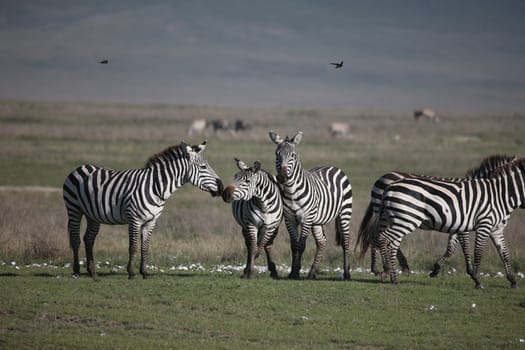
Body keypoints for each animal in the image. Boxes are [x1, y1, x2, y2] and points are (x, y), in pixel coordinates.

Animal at [62, 141, 222, 280]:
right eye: (203, 167)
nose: (221, 187)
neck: (155, 187)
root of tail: (81, 167)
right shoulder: (135, 219)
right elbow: (133, 247)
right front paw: (131, 273)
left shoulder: (151, 221)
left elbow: (145, 247)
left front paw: (144, 272)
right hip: (74, 208)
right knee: (76, 239)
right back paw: (76, 271)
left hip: (92, 215)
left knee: (89, 239)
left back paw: (92, 272)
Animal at [270, 131, 352, 278]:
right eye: (277, 154)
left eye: (293, 155)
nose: (282, 177)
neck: (292, 192)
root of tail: (333, 167)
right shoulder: (289, 218)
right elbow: (294, 245)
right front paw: (293, 272)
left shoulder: (306, 218)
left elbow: (301, 245)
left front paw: (296, 272)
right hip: (317, 220)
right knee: (322, 242)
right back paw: (312, 272)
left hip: (344, 213)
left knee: (346, 242)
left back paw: (347, 274)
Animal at [356, 157, 524, 288]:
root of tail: (385, 180)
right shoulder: (471, 224)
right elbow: (467, 249)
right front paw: (473, 276)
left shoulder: (461, 224)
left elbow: (501, 252)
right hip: (394, 216)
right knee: (380, 237)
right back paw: (385, 269)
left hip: (389, 217)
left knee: (377, 236)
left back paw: (385, 269)